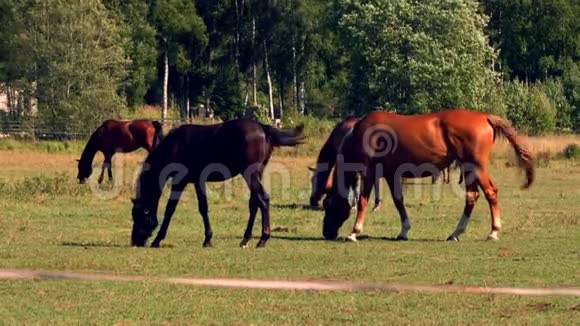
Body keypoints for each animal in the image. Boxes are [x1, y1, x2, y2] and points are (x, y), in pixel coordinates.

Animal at [131, 118, 304, 248]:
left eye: (138, 215)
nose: (135, 242)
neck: (174, 146)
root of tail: (263, 128)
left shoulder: (180, 181)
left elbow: (170, 209)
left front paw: (157, 240)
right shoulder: (197, 181)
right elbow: (203, 208)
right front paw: (208, 239)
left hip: (250, 174)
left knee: (263, 199)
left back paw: (263, 239)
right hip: (257, 173)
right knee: (254, 202)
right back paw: (245, 239)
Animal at [322, 109, 536, 242]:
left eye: (328, 204)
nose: (326, 233)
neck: (361, 133)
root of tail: (485, 117)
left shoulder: (370, 171)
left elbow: (363, 201)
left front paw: (354, 232)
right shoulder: (391, 174)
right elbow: (399, 201)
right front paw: (404, 230)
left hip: (476, 167)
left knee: (490, 192)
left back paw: (493, 231)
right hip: (468, 169)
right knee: (471, 196)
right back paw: (455, 233)